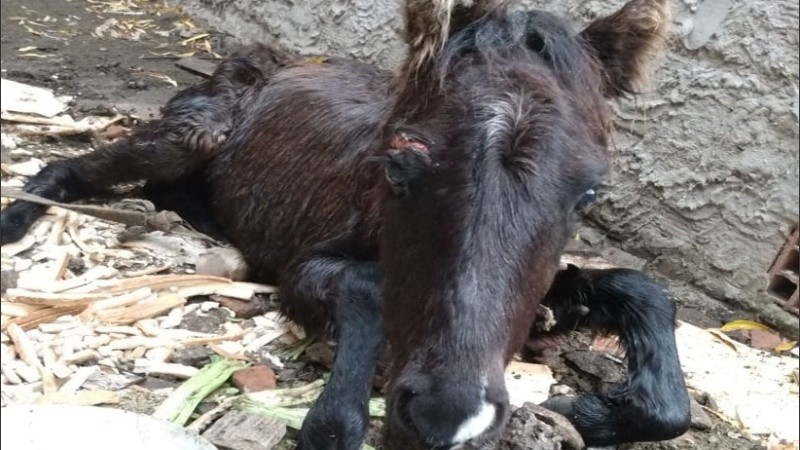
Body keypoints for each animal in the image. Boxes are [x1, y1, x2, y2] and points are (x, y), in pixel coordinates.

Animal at [0, 0, 691, 448]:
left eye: (587, 194)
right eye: (397, 168)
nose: (449, 418)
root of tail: (276, 57)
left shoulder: (543, 290)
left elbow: (644, 292)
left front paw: (588, 411)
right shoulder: (306, 266)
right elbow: (363, 290)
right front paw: (339, 418)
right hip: (189, 136)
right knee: (70, 166)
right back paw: (18, 215)